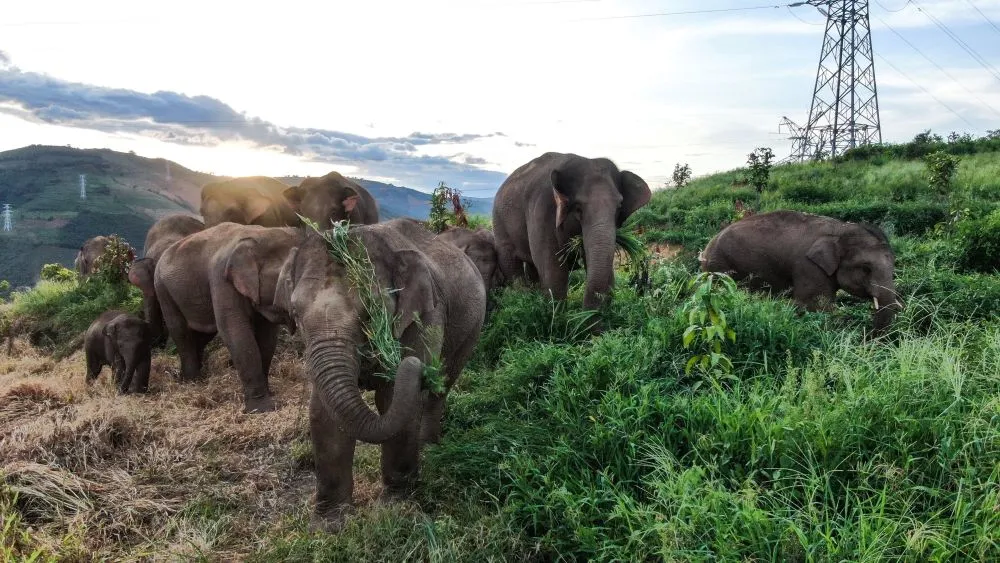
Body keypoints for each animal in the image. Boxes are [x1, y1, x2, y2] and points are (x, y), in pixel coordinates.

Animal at [152, 223, 300, 412]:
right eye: (289, 281)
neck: (261, 235)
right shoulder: (221, 278)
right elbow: (234, 330)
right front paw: (262, 408)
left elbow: (267, 337)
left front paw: (269, 395)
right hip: (162, 288)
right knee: (180, 330)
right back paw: (191, 381)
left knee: (204, 332)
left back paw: (196, 376)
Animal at [276, 217, 486, 528]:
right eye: (295, 314)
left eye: (369, 313)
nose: (417, 367)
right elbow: (323, 412)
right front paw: (329, 524)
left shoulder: (426, 315)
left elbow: (393, 400)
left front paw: (395, 507)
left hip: (472, 327)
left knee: (439, 390)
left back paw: (429, 449)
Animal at [494, 152, 652, 310]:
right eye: (578, 208)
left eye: (619, 206)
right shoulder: (541, 211)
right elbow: (553, 271)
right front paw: (558, 315)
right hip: (499, 225)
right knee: (512, 266)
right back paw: (523, 299)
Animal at [700, 212, 904, 334]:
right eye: (866, 268)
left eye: (894, 265)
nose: (868, 338)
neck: (840, 230)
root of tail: (706, 248)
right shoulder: (808, 267)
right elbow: (815, 306)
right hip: (719, 268)